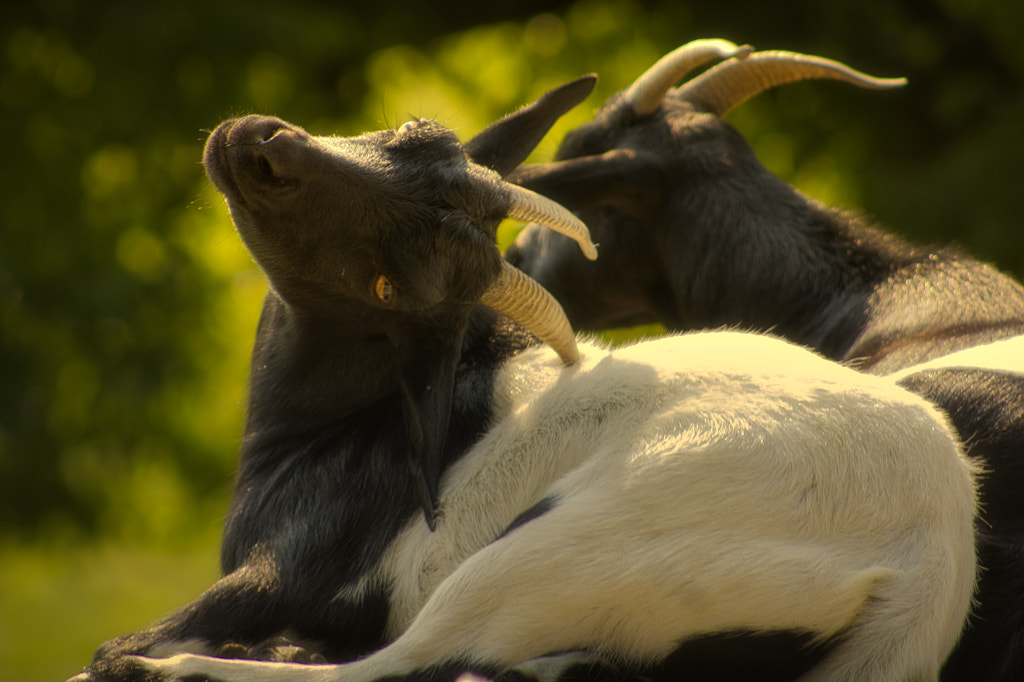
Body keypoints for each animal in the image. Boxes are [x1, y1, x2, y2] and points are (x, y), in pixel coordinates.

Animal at [75, 45, 978, 675]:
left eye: (387, 282)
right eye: (413, 132)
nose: (263, 146)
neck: (331, 427)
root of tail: (922, 575)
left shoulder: (286, 571)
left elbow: (132, 641)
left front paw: (161, 653)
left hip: (554, 554)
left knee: (397, 662)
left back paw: (187, 669)